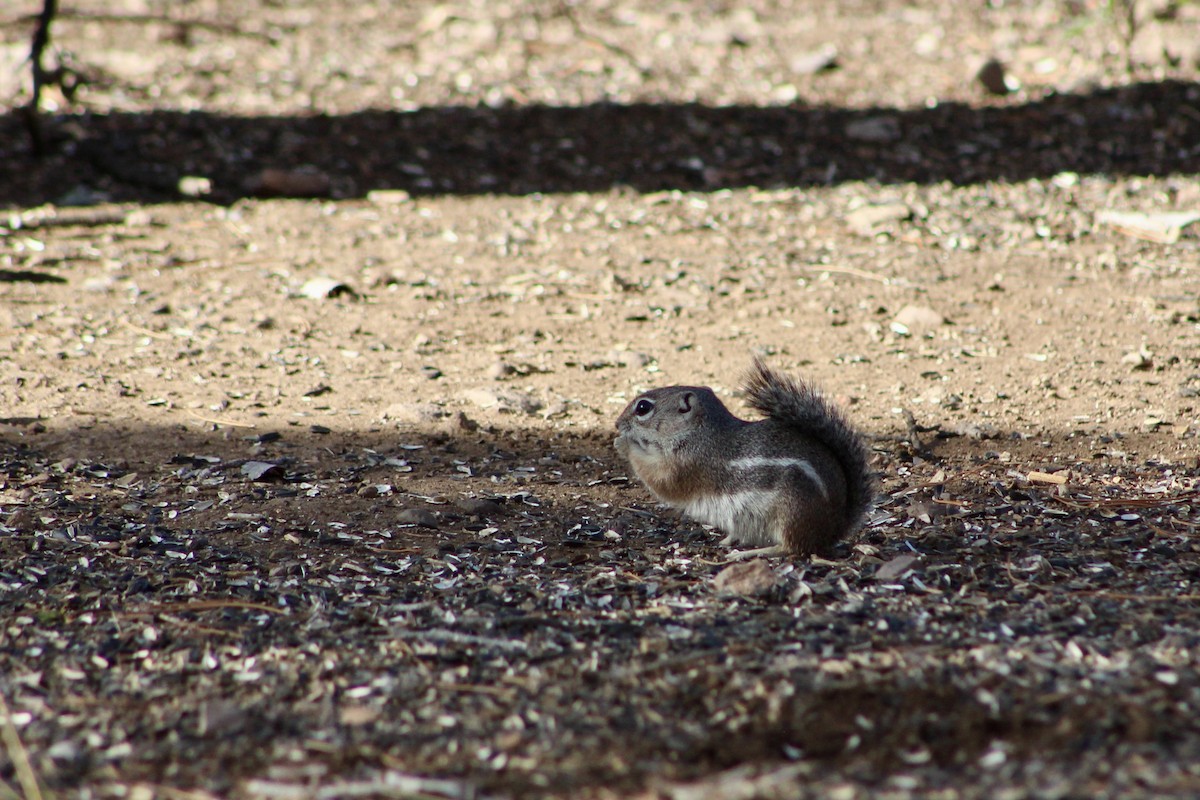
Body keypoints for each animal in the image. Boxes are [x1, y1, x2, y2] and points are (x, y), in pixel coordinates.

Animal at [614, 357, 875, 559]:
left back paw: (751, 552)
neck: (699, 432)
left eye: (643, 408)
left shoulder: (688, 466)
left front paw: (624, 444)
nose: (617, 424)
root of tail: (835, 526)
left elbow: (661, 482)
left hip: (792, 512)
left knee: (794, 548)